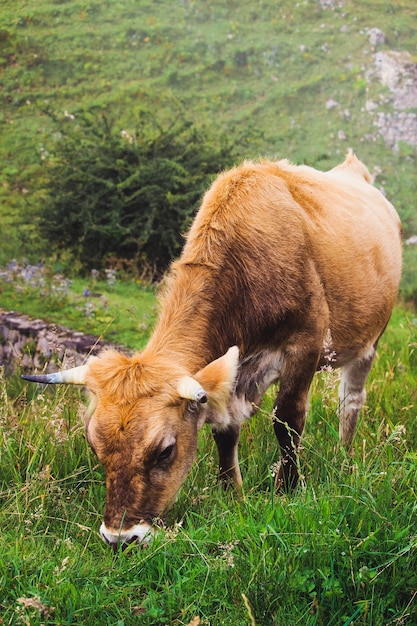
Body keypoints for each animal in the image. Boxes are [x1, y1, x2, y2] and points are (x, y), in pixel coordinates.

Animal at [22, 152, 400, 544]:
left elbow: (287, 420)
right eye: (95, 447)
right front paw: (231, 493)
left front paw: (288, 489)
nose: (120, 537)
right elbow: (225, 429)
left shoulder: (305, 344)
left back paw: (344, 455)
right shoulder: (231, 370)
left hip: (371, 340)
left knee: (350, 400)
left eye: (165, 451)